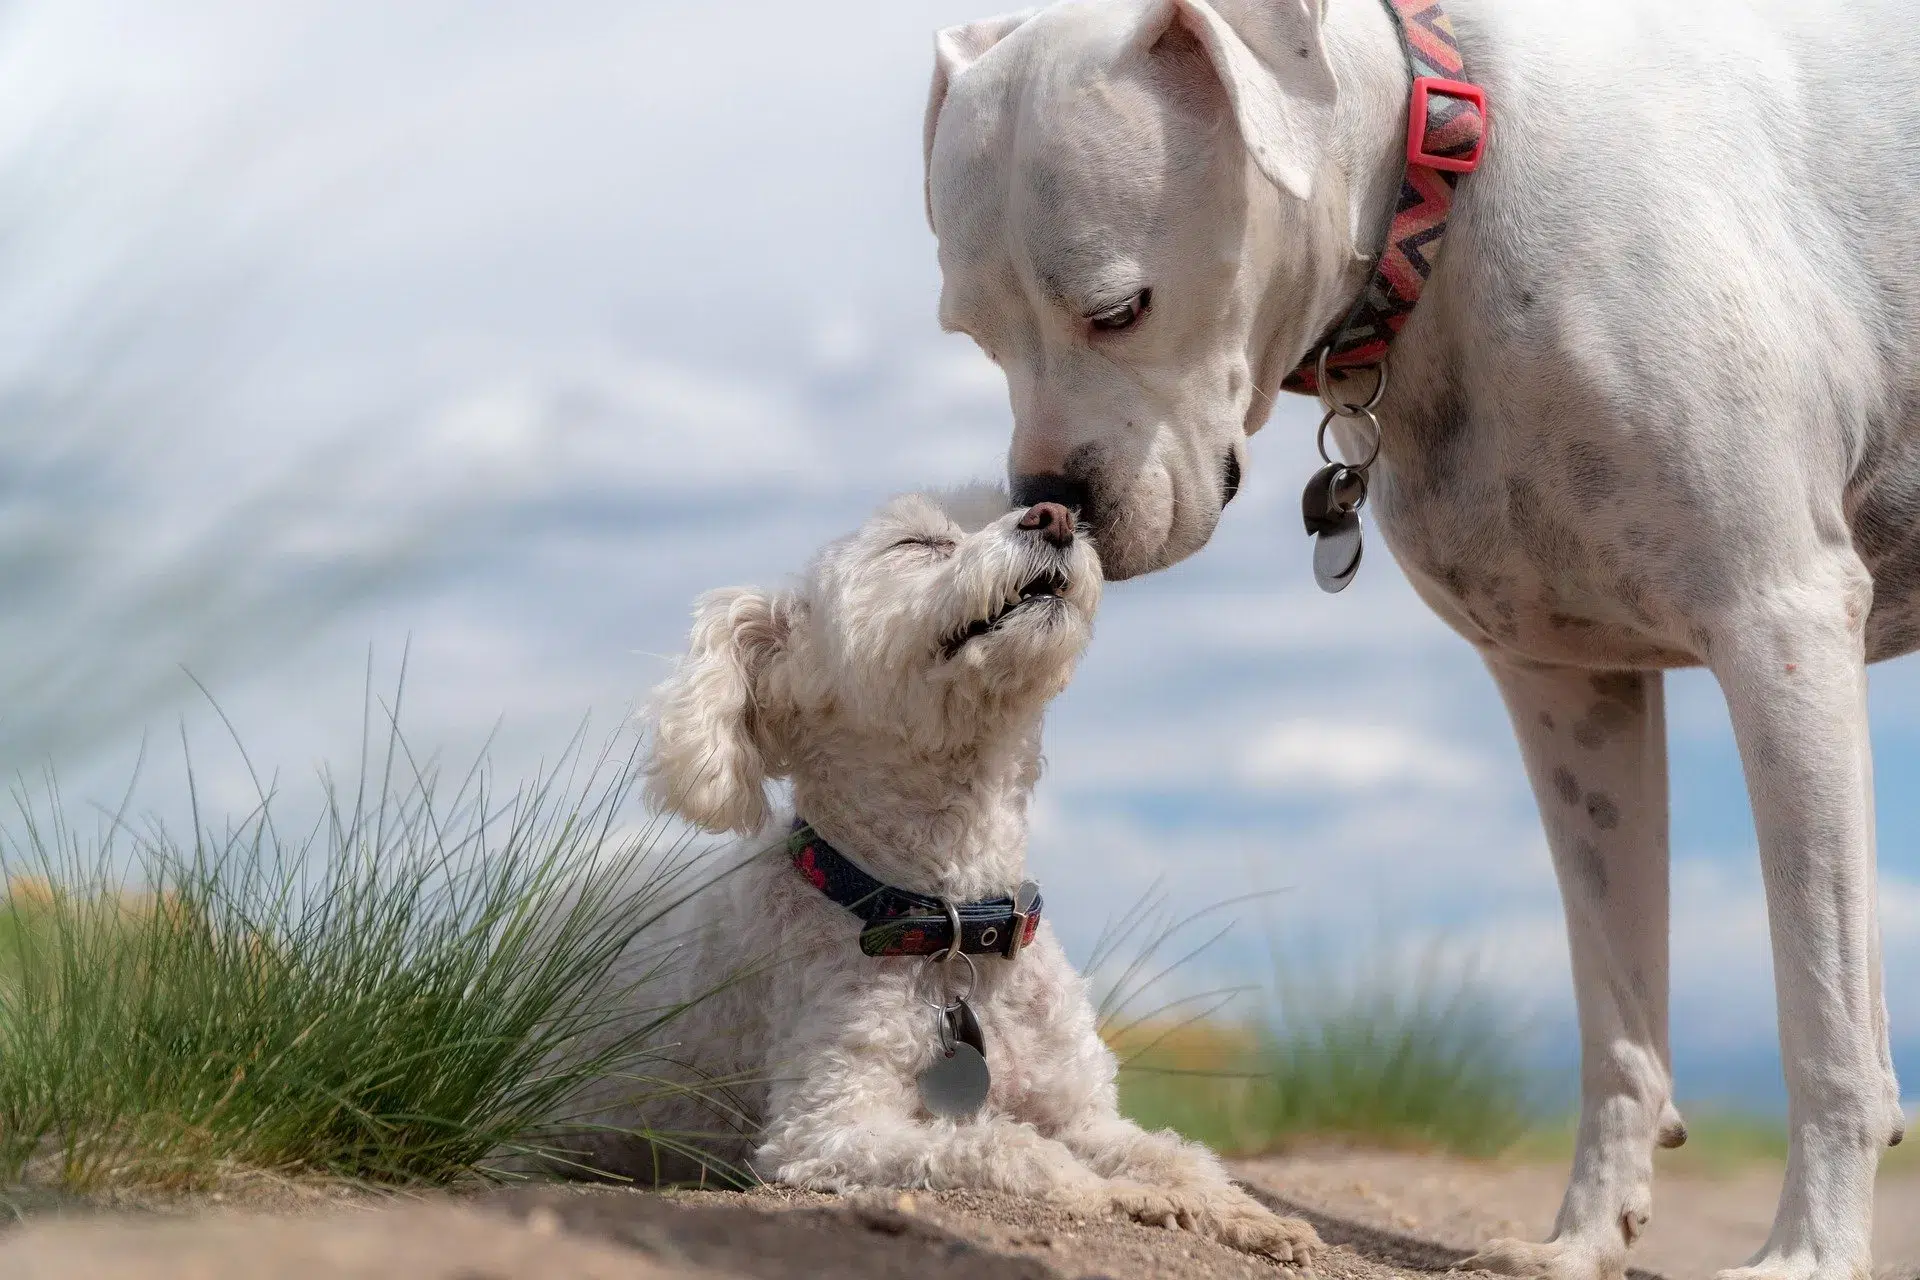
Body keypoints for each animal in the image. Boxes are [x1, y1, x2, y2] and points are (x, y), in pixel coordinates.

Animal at [606, 487, 1328, 1258]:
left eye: (1012, 505)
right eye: (917, 544)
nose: (1055, 514)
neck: (952, 924)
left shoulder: (1082, 1113)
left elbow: (1174, 1154)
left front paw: (1247, 1214)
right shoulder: (826, 1130)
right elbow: (1012, 1149)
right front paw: (1124, 1195)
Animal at [921, 2, 1912, 1280]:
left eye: (1118, 308)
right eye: (974, 334)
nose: (1049, 503)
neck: (1446, 180)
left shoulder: (1780, 627)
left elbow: (1825, 1012)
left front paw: (1811, 1252)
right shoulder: (1570, 687)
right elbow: (1617, 1010)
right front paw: (1580, 1236)